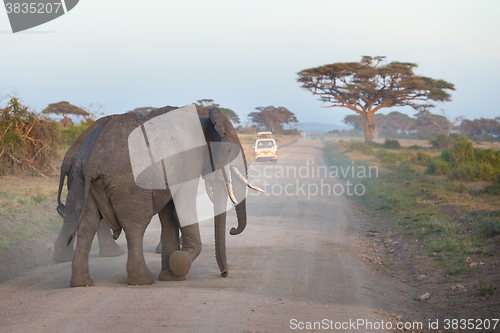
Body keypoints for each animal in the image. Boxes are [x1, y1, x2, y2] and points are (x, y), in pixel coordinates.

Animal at [63, 104, 262, 286]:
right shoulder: (189, 161)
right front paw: (180, 262)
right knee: (135, 226)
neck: (204, 117)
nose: (224, 274)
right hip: (128, 181)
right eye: (229, 151)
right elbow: (183, 209)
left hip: (80, 180)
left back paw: (82, 283)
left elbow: (169, 218)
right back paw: (143, 280)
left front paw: (171, 276)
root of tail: (92, 160)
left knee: (86, 226)